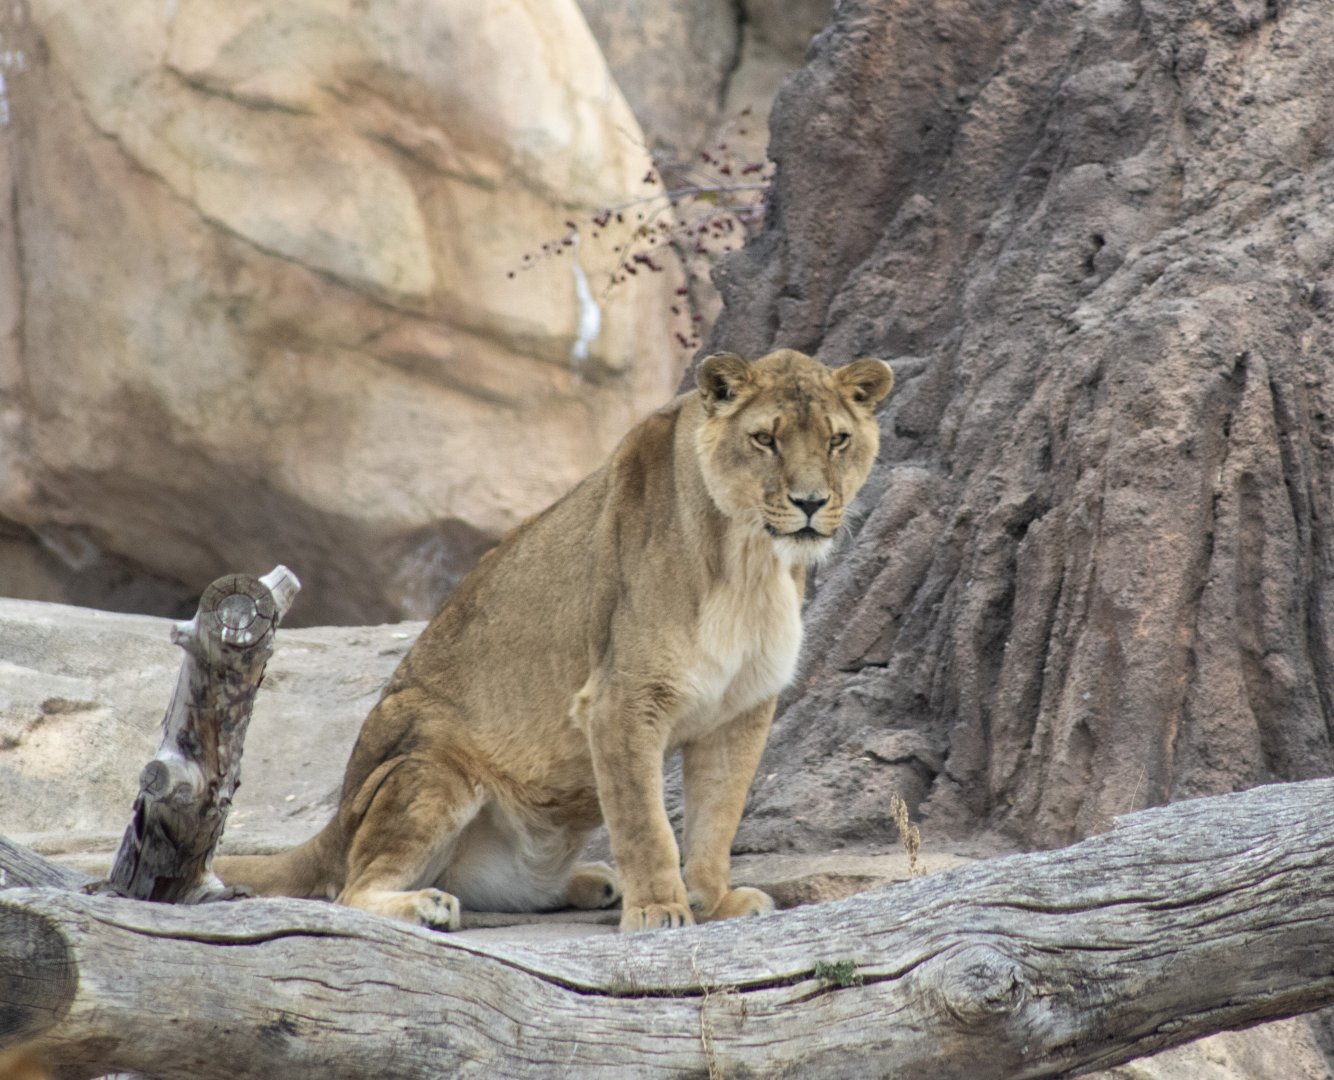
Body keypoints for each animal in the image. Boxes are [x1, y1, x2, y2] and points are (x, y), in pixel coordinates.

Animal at [216, 348, 894, 932]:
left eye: (837, 439)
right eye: (765, 439)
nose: (811, 502)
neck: (750, 561)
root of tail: (331, 826)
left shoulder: (742, 710)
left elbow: (717, 818)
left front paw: (712, 899)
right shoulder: (620, 701)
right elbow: (645, 822)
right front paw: (659, 910)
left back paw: (594, 882)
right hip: (430, 763)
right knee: (352, 890)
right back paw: (428, 904)